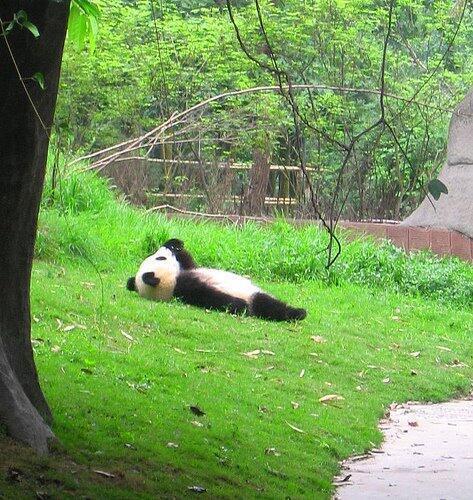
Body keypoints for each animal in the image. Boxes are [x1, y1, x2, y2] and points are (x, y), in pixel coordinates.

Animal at [125, 237, 306, 322]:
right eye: (161, 258)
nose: (163, 250)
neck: (171, 286)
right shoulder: (185, 286)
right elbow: (212, 296)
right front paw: (240, 306)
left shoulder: (186, 273)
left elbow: (189, 261)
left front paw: (174, 243)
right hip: (254, 297)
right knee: (269, 305)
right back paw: (297, 313)